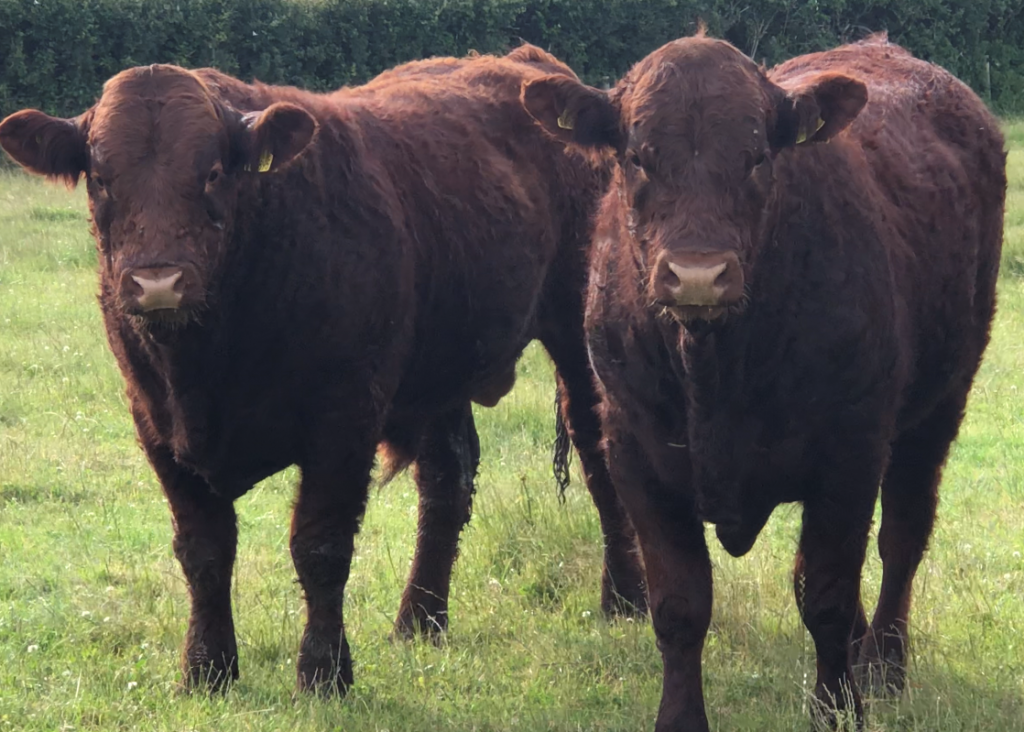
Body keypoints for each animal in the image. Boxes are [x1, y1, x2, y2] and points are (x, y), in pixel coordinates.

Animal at [0, 45, 643, 700]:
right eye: (102, 179)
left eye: (212, 173)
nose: (158, 282)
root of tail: (523, 61)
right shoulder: (155, 422)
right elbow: (203, 550)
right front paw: (206, 670)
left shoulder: (344, 417)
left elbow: (320, 546)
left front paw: (324, 673)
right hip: (440, 368)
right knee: (447, 484)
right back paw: (420, 620)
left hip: (577, 339)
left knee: (598, 460)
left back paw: (624, 599)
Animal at [524, 33, 1003, 728]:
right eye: (638, 157)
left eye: (755, 158)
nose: (697, 275)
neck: (715, 371)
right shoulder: (636, 455)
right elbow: (679, 605)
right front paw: (679, 717)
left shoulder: (850, 452)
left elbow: (825, 592)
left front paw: (837, 707)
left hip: (941, 404)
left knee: (901, 539)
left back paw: (884, 664)